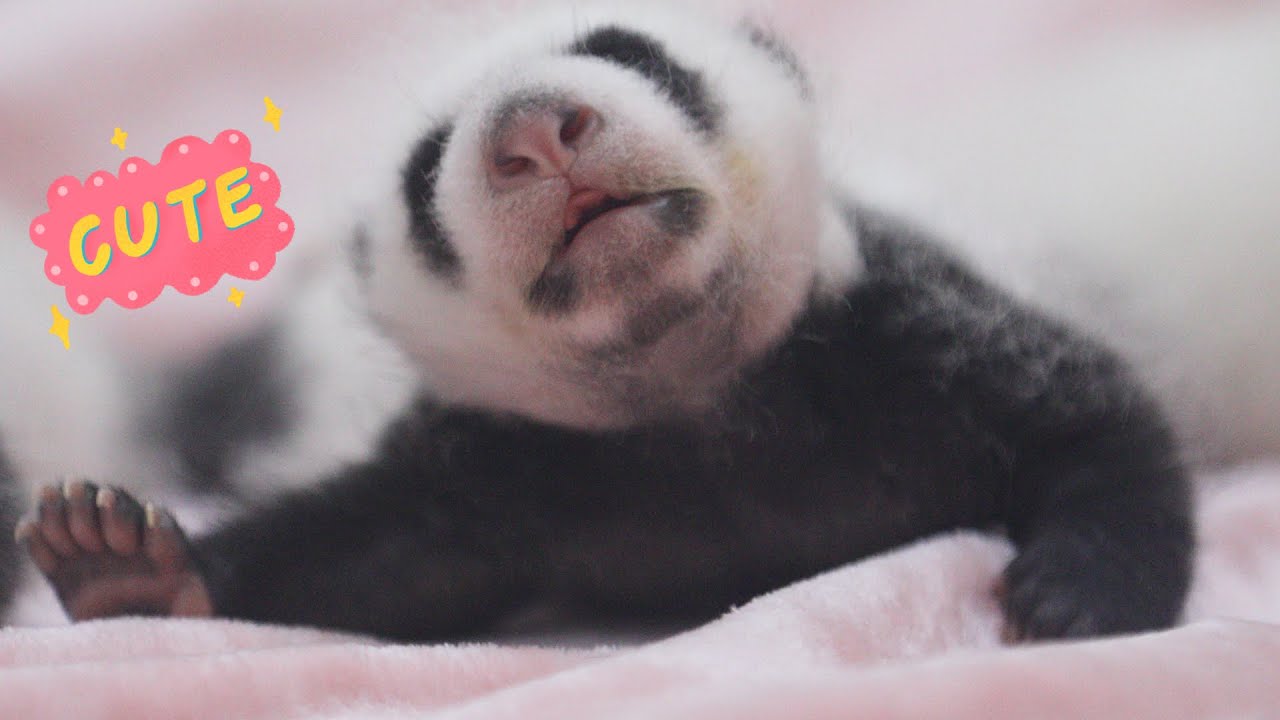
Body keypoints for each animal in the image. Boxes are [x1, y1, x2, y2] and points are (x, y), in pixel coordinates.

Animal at [13, 5, 1192, 641]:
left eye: (631, 53)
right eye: (426, 167)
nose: (538, 129)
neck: (684, 382)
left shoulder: (902, 339)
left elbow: (1097, 423)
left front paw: (1077, 598)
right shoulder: (515, 461)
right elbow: (374, 557)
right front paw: (125, 561)